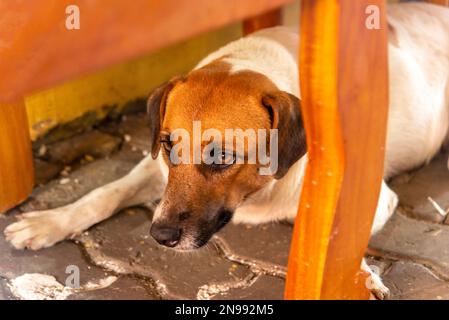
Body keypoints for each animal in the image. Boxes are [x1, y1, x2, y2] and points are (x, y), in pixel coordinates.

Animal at [3, 1, 448, 298]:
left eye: (222, 157)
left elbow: (335, 239)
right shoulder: (153, 170)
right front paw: (50, 221)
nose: (160, 235)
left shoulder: (366, 194)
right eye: (167, 145)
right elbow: (105, 192)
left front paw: (360, 276)